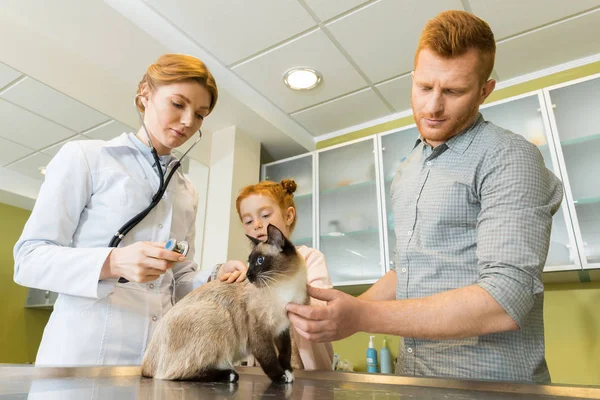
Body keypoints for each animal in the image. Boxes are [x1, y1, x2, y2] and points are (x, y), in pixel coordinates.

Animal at [141, 225, 310, 384]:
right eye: (249, 262)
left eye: (260, 261)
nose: (248, 275)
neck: (285, 285)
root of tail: (145, 366)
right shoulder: (259, 331)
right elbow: (269, 359)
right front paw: (281, 377)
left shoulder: (283, 329)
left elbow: (285, 354)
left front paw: (288, 373)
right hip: (219, 314)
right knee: (171, 374)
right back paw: (230, 375)